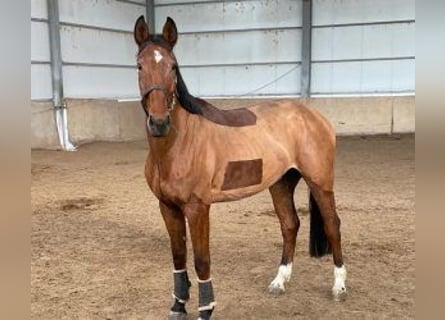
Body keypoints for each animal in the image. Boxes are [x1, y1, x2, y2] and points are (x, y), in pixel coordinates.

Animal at [134, 16, 346, 320]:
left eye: (173, 66)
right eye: (139, 65)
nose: (159, 122)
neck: (178, 144)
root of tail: (314, 116)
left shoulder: (198, 208)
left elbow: (201, 260)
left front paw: (206, 309)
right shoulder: (167, 206)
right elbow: (178, 255)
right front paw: (178, 305)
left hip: (320, 182)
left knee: (333, 225)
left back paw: (339, 286)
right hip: (281, 183)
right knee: (290, 225)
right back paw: (279, 281)